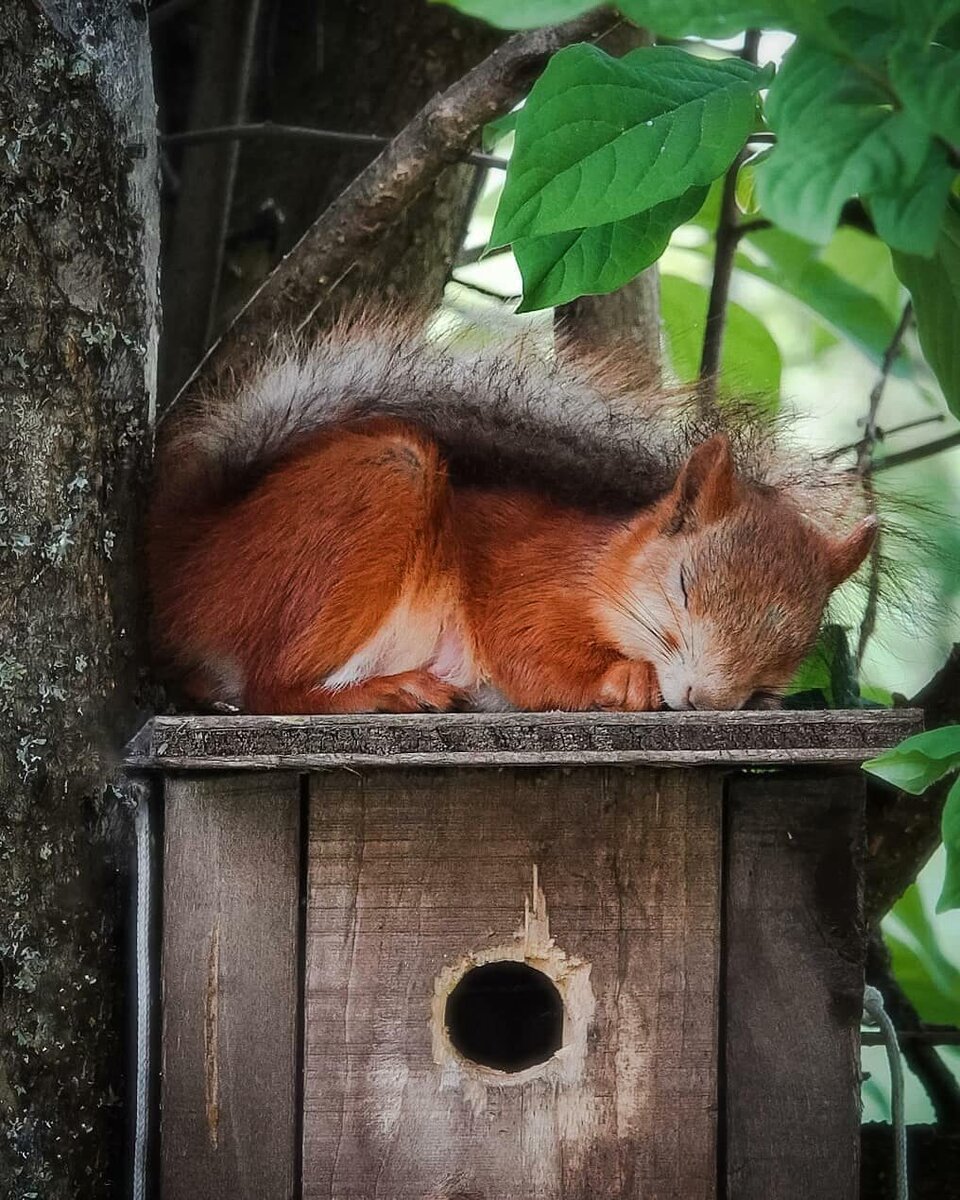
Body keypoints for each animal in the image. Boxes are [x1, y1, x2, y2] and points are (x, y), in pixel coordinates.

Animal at [146, 314, 873, 715]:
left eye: (792, 651)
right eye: (685, 587)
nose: (706, 699)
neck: (605, 568)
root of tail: (183, 550)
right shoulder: (529, 578)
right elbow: (528, 653)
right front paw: (623, 678)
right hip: (378, 485)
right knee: (270, 691)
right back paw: (374, 692)